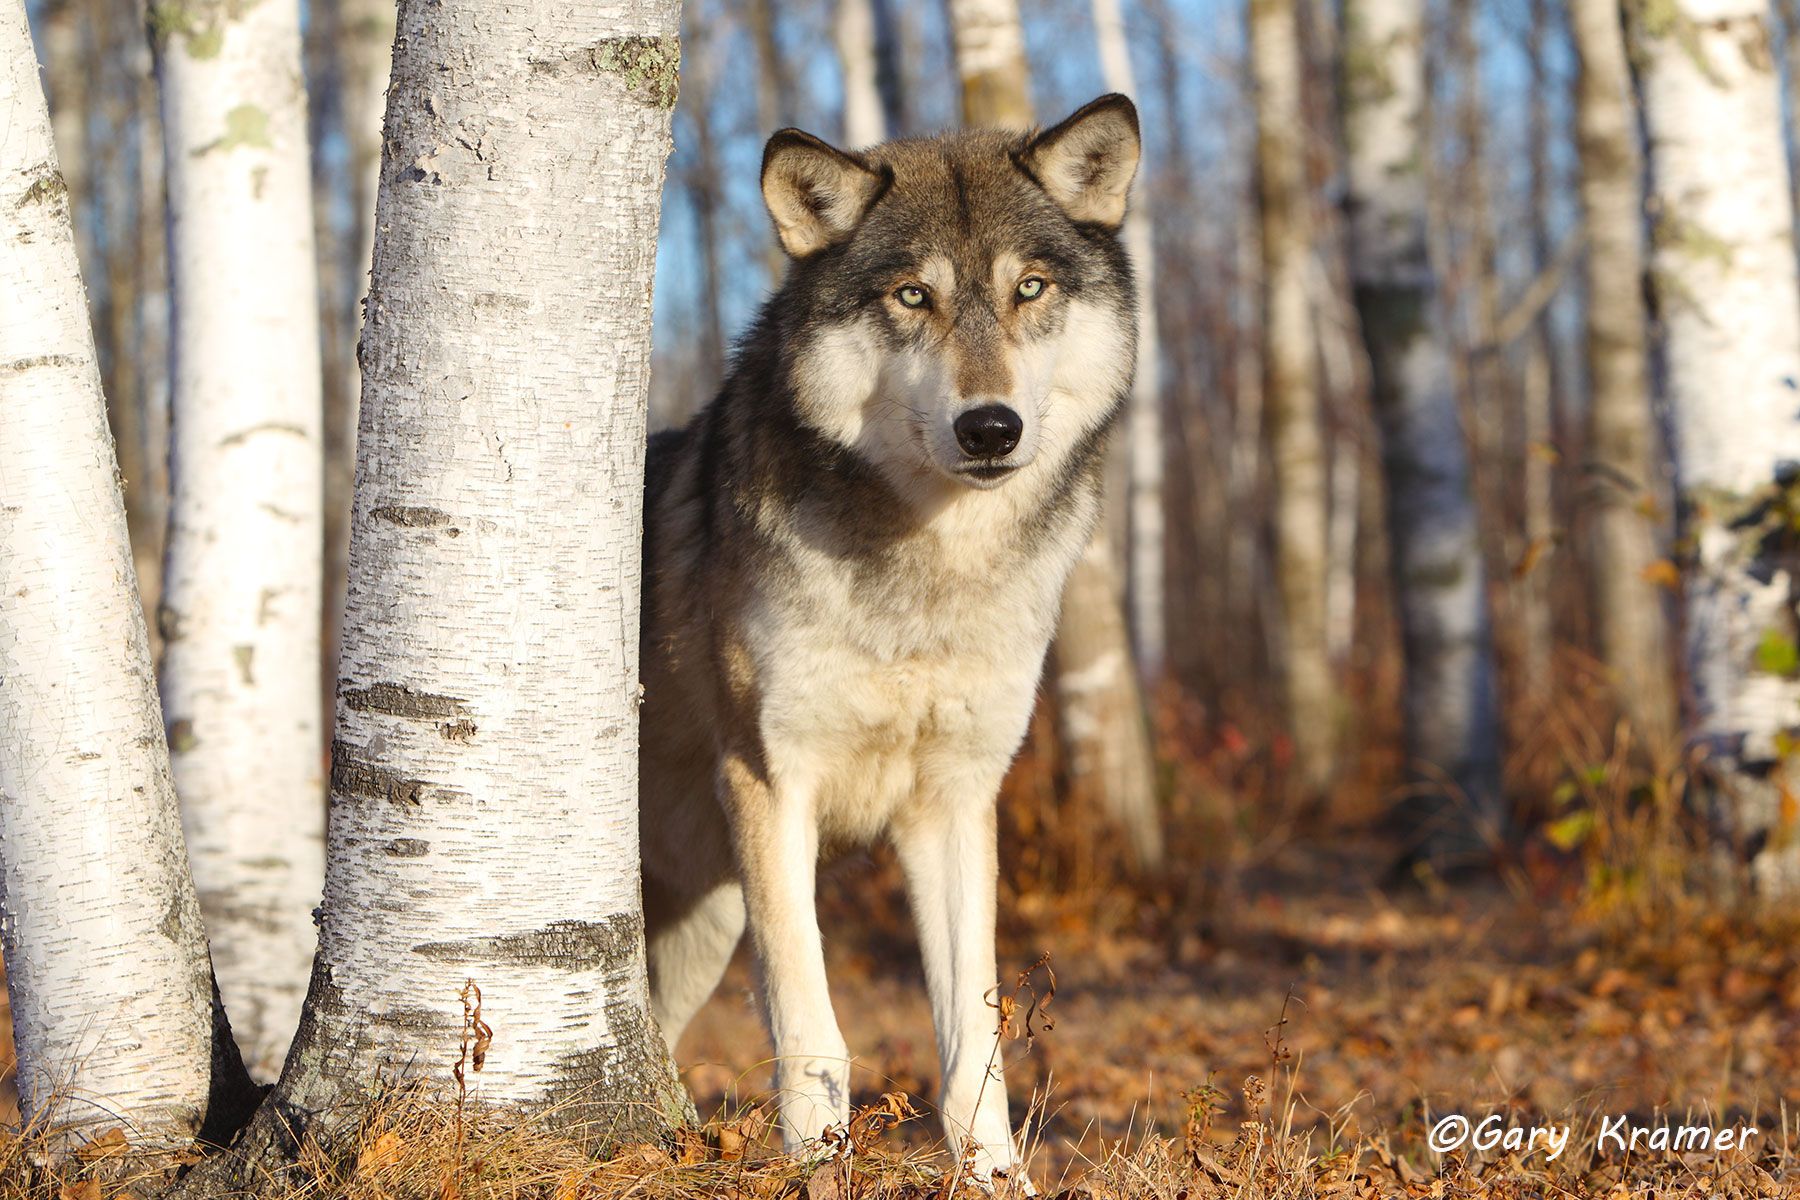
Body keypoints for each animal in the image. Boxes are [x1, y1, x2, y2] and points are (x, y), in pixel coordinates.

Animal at [637, 94, 1141, 1182]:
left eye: (1028, 288)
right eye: (914, 296)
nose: (990, 428)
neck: (928, 577)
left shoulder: (954, 802)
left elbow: (973, 1040)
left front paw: (997, 1178)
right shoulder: (772, 782)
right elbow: (812, 1028)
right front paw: (815, 1167)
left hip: (705, 923)